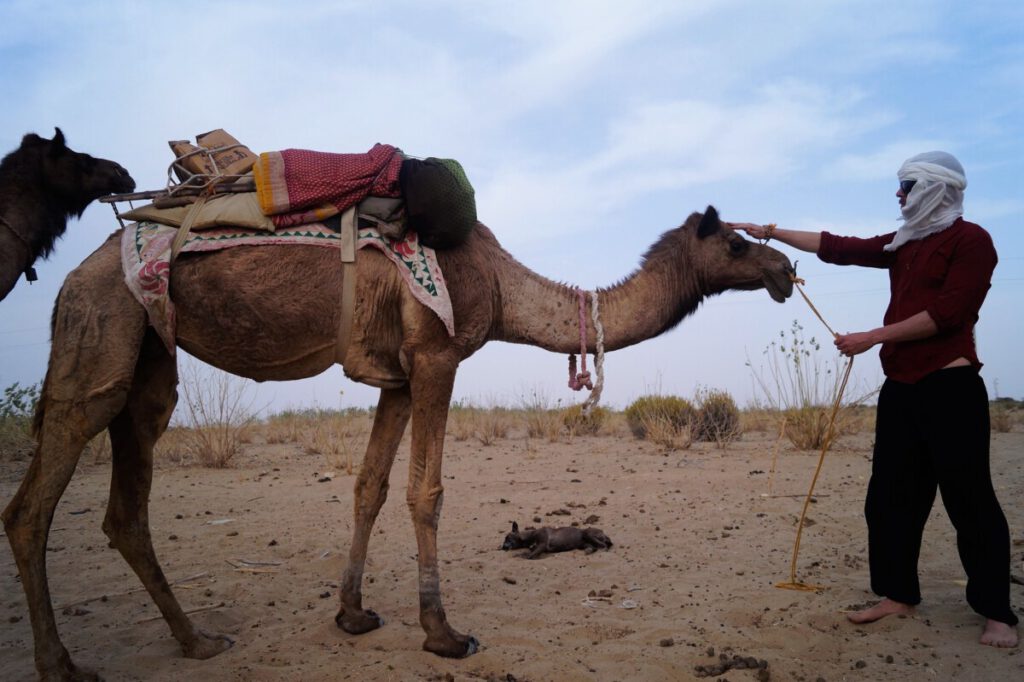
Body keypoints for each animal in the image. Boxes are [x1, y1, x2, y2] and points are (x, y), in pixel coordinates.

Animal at [2, 204, 790, 675]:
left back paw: (197, 640)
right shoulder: (437, 357)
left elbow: (369, 486)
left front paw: (352, 614)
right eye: (736, 240)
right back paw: (62, 665)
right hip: (100, 329)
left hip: (147, 365)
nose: (786, 269)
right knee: (32, 505)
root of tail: (72, 276)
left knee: (126, 505)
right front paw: (443, 632)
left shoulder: (398, 378)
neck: (499, 283)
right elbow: (426, 490)